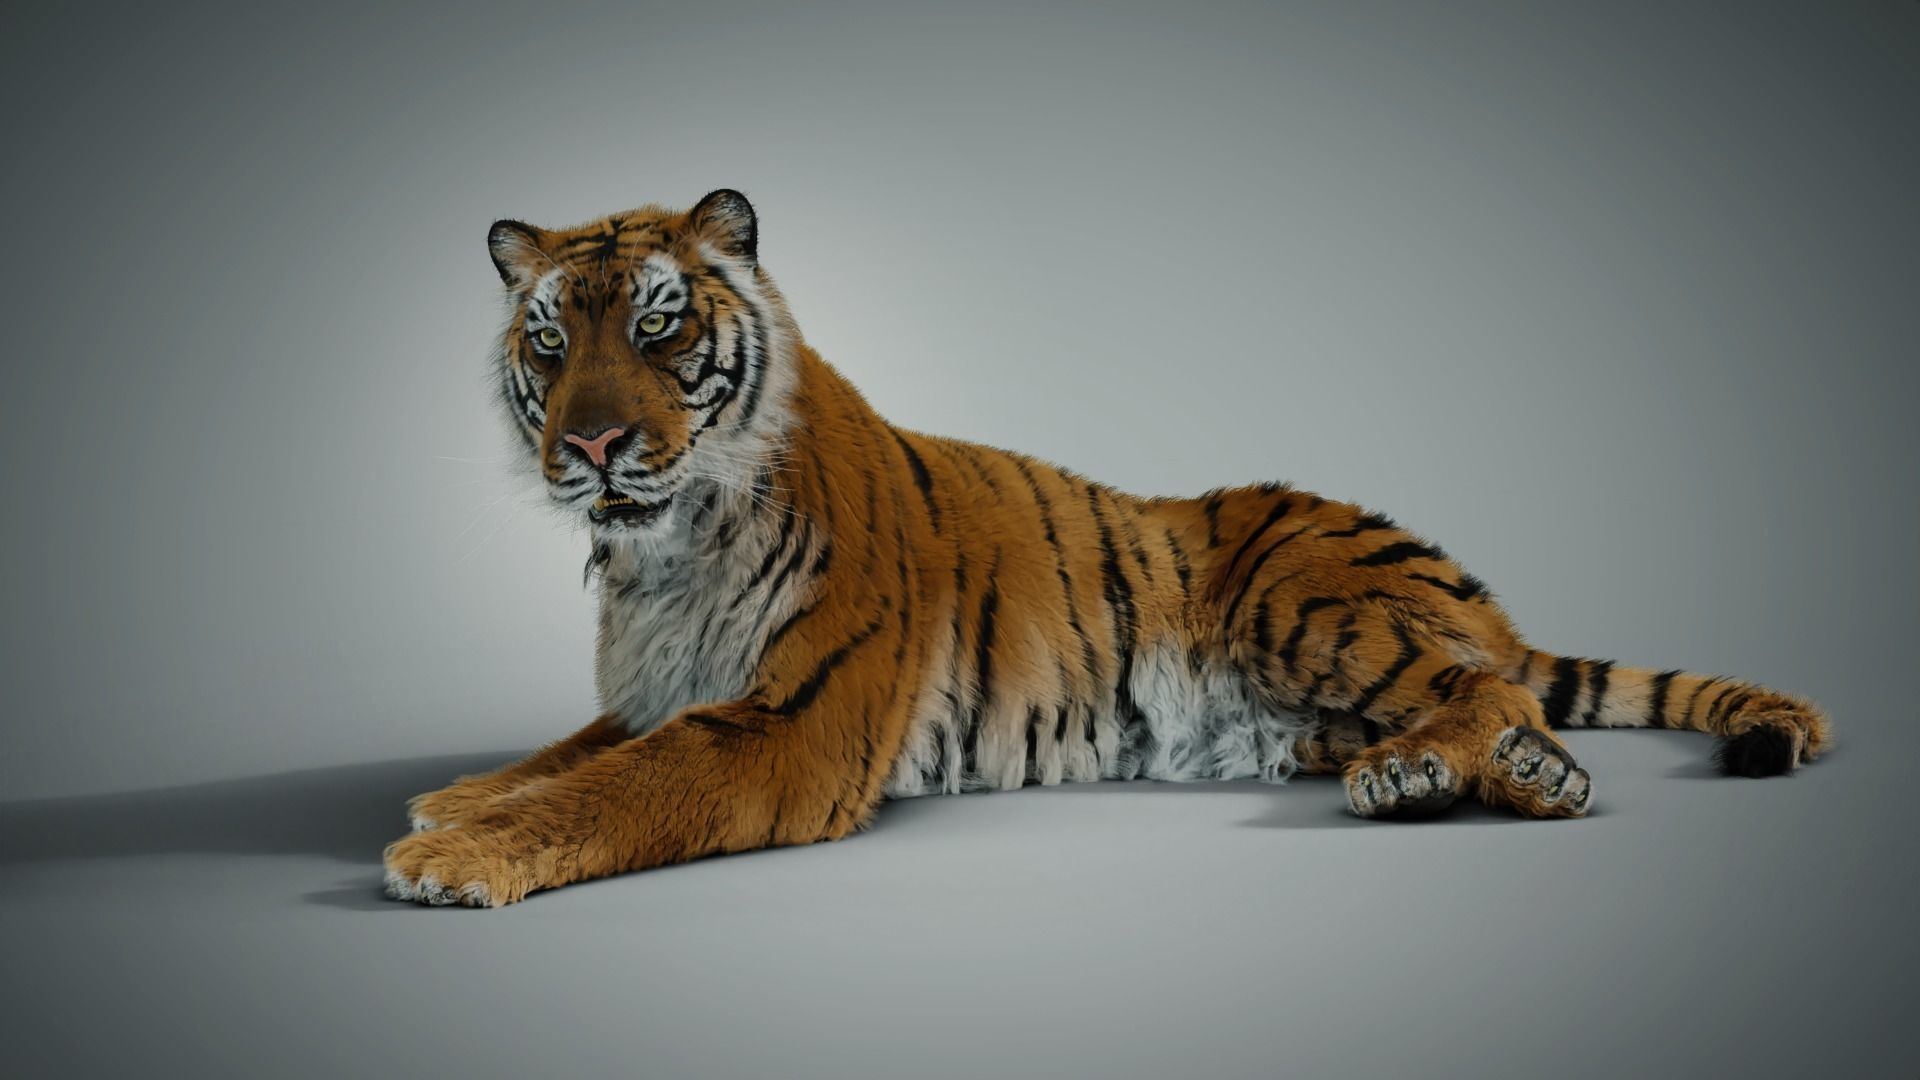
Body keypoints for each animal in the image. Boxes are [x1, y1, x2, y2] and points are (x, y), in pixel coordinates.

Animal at [384, 189, 1833, 907]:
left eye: (662, 326)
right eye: (551, 341)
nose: (591, 448)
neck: (665, 553)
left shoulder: (795, 721)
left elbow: (616, 789)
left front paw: (447, 857)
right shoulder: (663, 690)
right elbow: (570, 753)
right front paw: (457, 800)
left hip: (1302, 597)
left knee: (1496, 686)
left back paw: (1453, 770)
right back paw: (1482, 779)